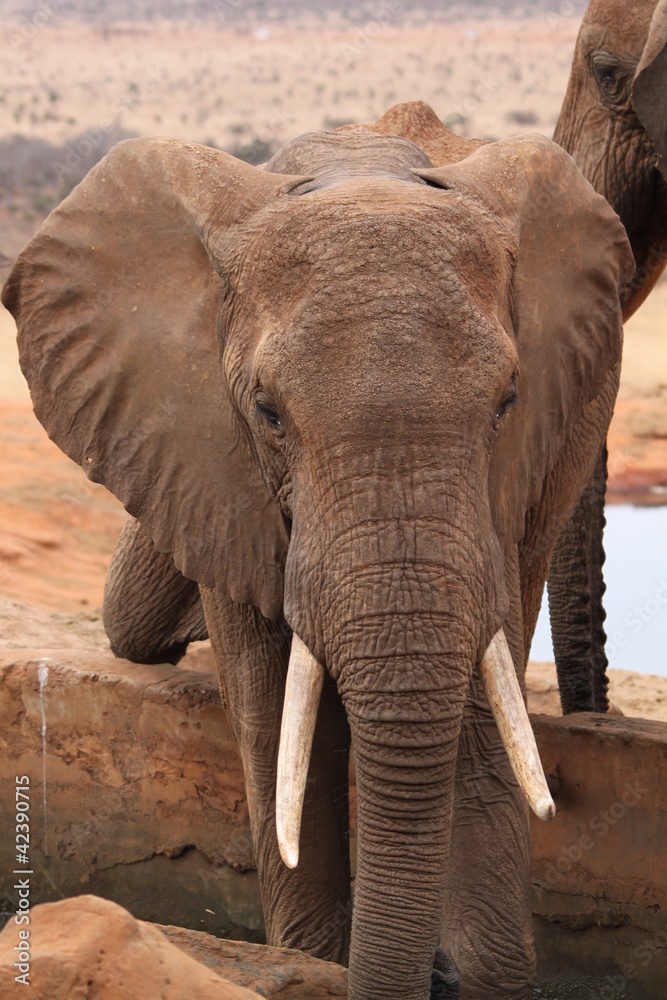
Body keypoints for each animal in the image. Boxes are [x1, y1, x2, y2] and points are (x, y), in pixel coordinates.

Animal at [2, 101, 633, 999]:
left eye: (506, 402)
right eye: (267, 412)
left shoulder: (510, 474)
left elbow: (484, 687)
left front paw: (476, 969)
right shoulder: (208, 448)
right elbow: (271, 703)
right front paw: (311, 957)